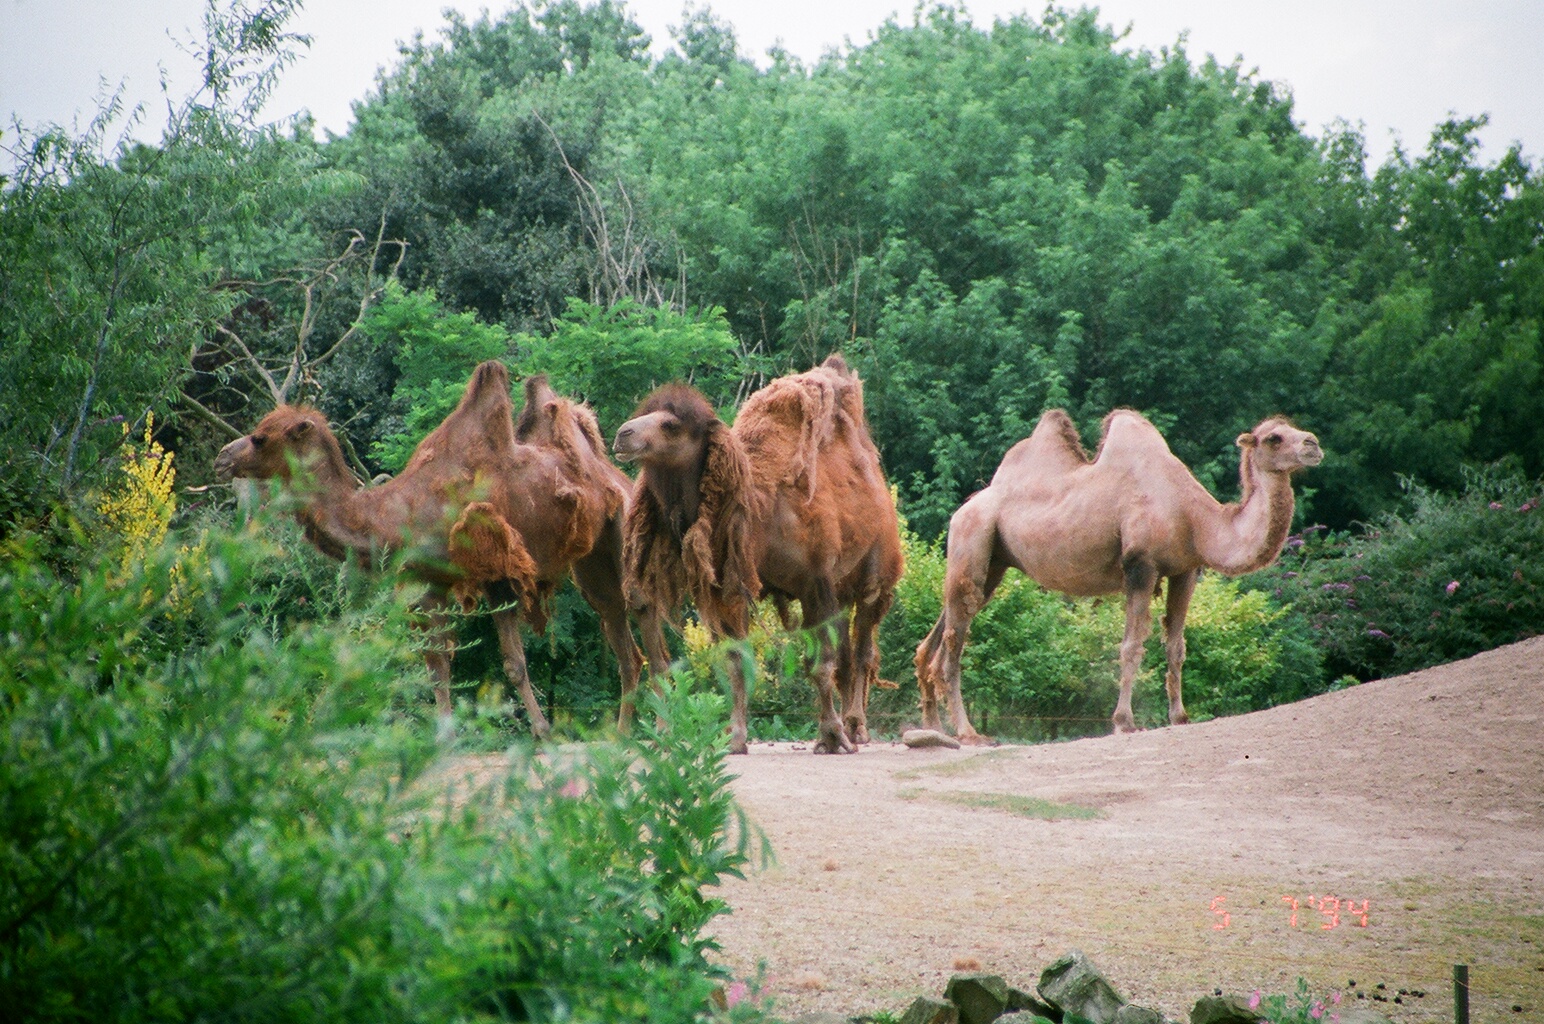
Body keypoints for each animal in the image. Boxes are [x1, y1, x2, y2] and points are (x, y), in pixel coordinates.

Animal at [213, 361, 643, 735]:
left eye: (260, 438)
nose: (222, 457)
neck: (389, 518)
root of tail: (614, 476)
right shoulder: (440, 583)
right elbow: (450, 667)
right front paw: (452, 735)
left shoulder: (472, 576)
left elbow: (493, 663)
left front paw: (537, 732)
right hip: (592, 562)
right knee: (622, 638)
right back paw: (623, 734)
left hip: (623, 531)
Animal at [612, 355, 904, 754]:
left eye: (671, 425)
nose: (623, 434)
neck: (758, 511)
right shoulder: (731, 587)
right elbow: (737, 662)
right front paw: (734, 738)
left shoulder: (815, 582)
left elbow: (819, 663)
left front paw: (831, 737)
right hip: (842, 588)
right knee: (849, 652)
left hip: (875, 577)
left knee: (862, 648)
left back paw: (856, 727)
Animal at [914, 408, 1322, 740]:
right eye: (1273, 437)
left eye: (1294, 427)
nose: (1313, 444)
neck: (1194, 516)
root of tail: (963, 509)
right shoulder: (1140, 566)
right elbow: (1131, 646)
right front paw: (1124, 721)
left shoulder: (1185, 569)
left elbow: (1176, 647)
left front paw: (1180, 716)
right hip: (971, 537)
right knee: (954, 641)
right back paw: (967, 732)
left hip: (992, 564)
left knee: (939, 632)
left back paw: (933, 729)